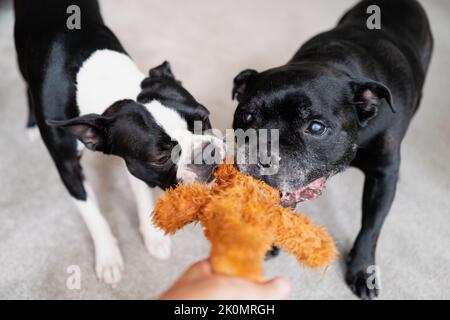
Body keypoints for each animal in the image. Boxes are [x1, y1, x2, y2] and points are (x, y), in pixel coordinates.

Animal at [14, 0, 223, 284]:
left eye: (204, 118)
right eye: (161, 158)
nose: (206, 152)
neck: (103, 82)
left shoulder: (133, 164)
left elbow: (142, 198)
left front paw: (153, 236)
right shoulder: (67, 167)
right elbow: (92, 214)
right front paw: (108, 258)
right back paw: (31, 124)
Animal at [232, 0, 432, 300]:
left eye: (316, 127)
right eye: (246, 117)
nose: (261, 155)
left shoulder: (382, 177)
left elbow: (371, 227)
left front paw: (362, 271)